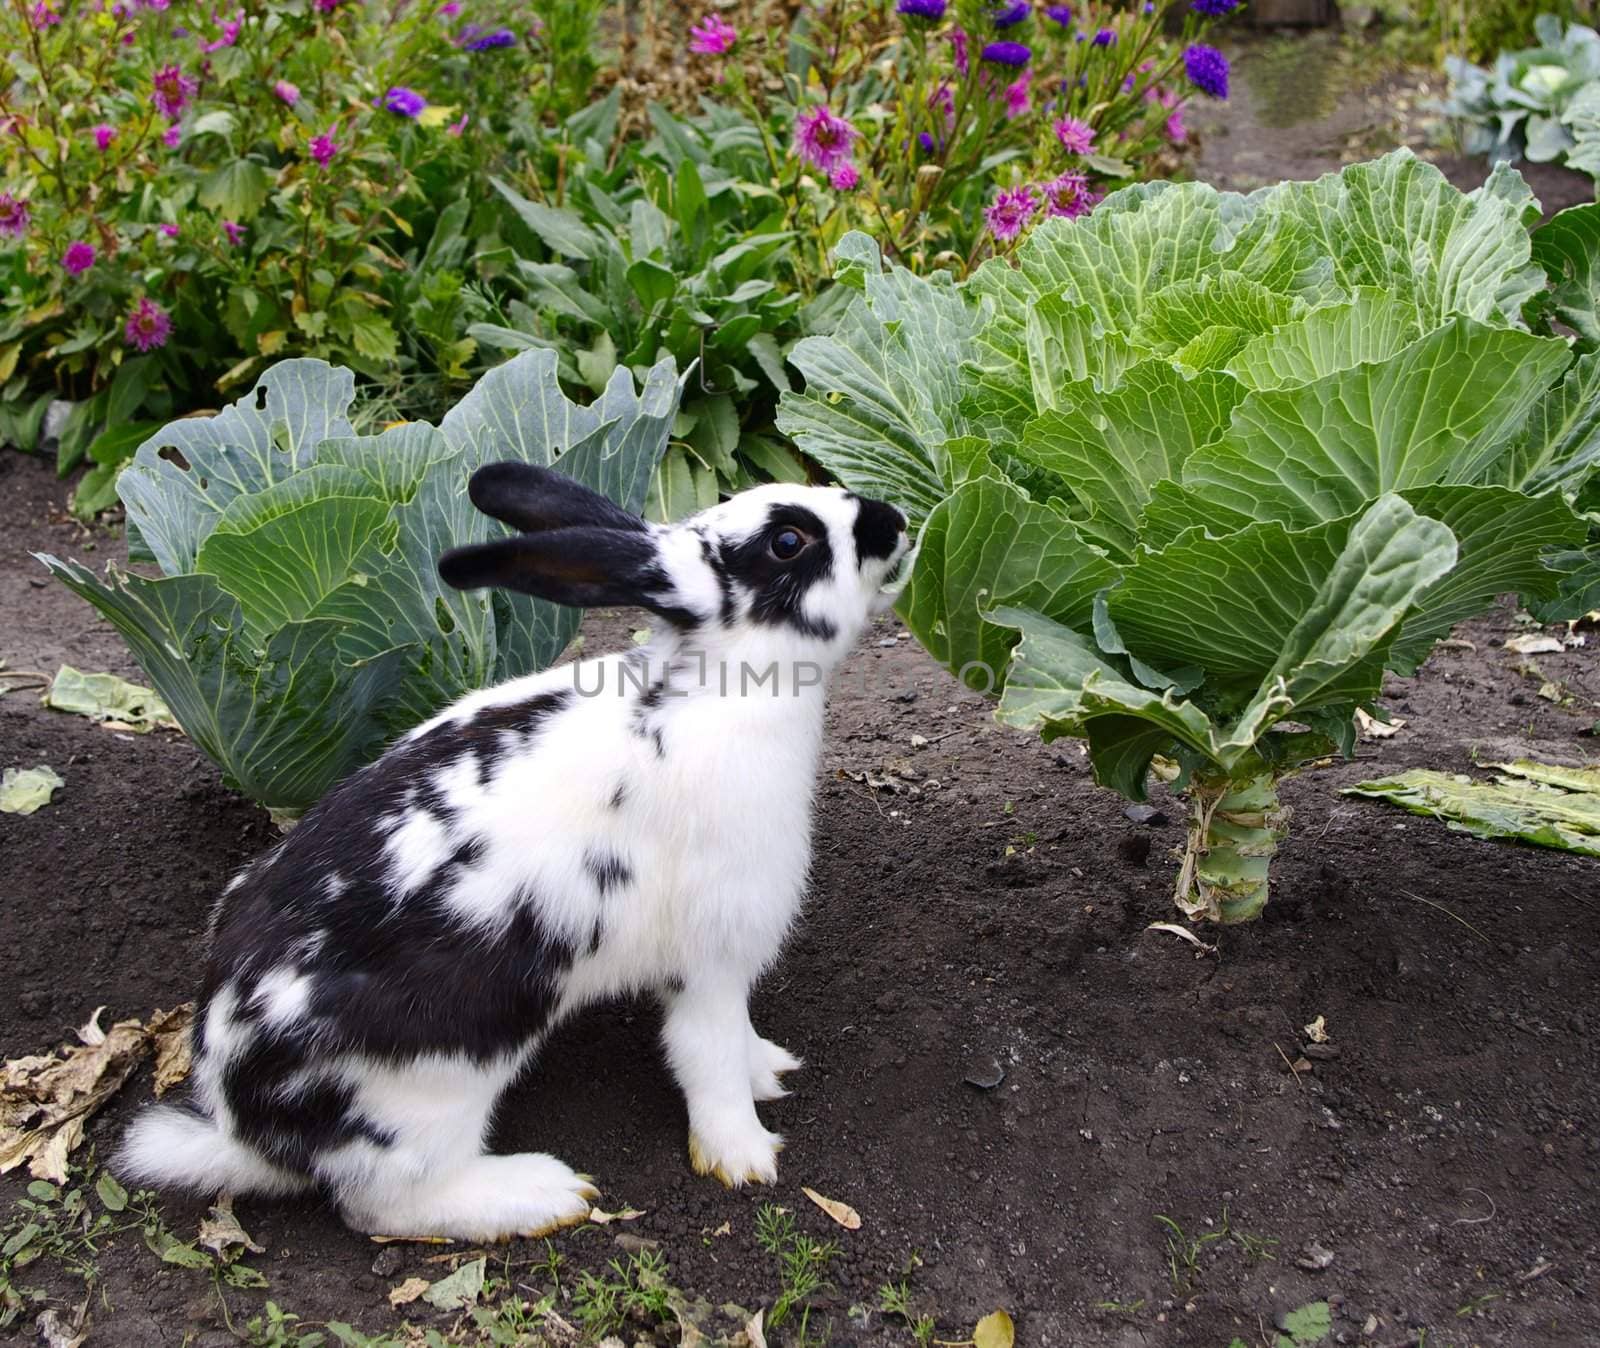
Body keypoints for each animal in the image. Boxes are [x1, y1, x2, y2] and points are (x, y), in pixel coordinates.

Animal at [116, 457, 908, 1235]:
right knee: (384, 1204)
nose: (893, 520)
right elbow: (705, 1053)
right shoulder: (711, 954)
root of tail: (244, 1129)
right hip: (433, 1084)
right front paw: (744, 1156)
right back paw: (543, 1195)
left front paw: (770, 1070)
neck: (711, 686)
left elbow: (738, 1037)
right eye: (789, 543)